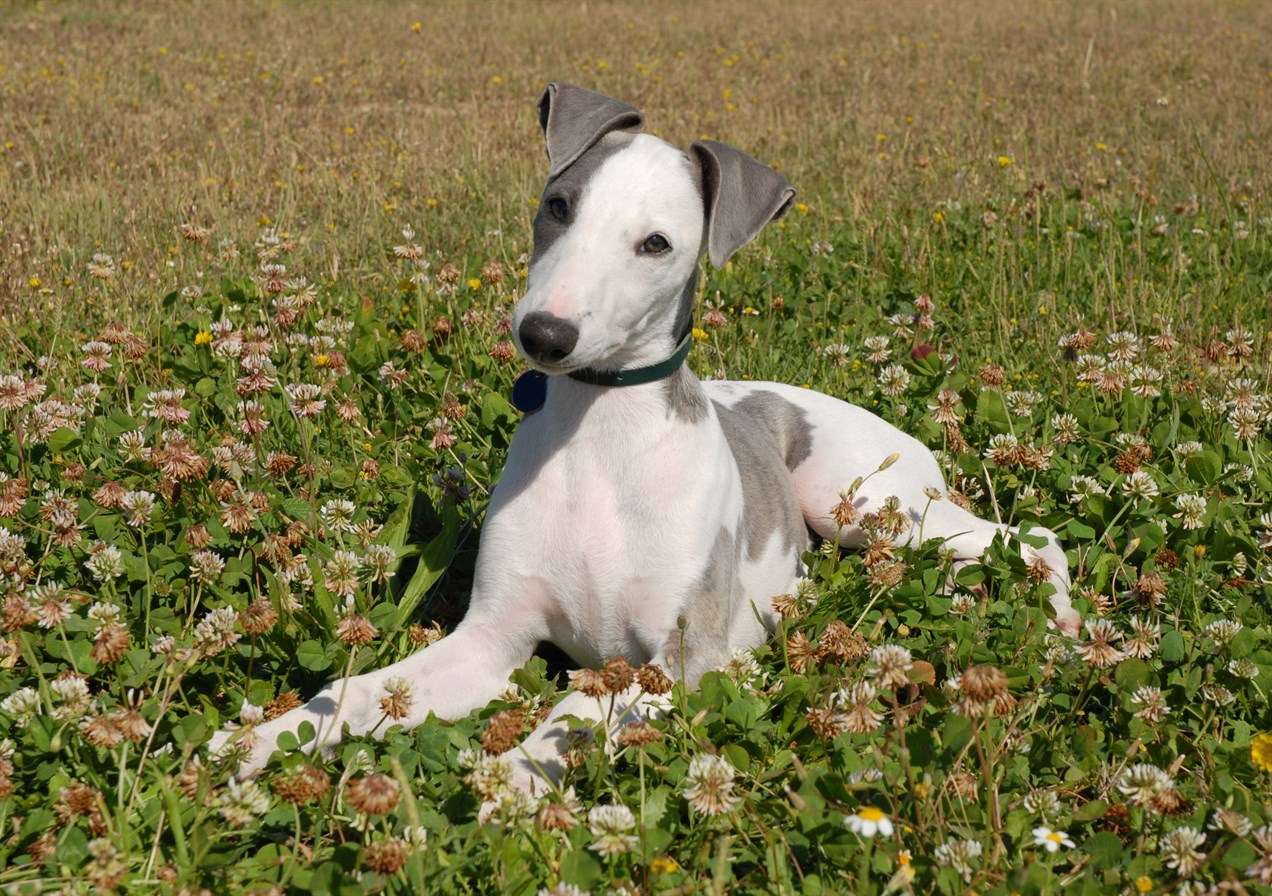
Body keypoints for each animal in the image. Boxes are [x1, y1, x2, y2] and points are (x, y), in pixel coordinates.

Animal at [218, 82, 1073, 784]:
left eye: (657, 244)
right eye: (559, 205)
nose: (545, 334)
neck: (601, 437)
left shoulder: (680, 661)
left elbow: (570, 715)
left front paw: (514, 785)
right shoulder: (491, 642)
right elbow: (361, 689)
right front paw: (254, 744)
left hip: (863, 505)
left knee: (1029, 536)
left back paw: (1063, 629)